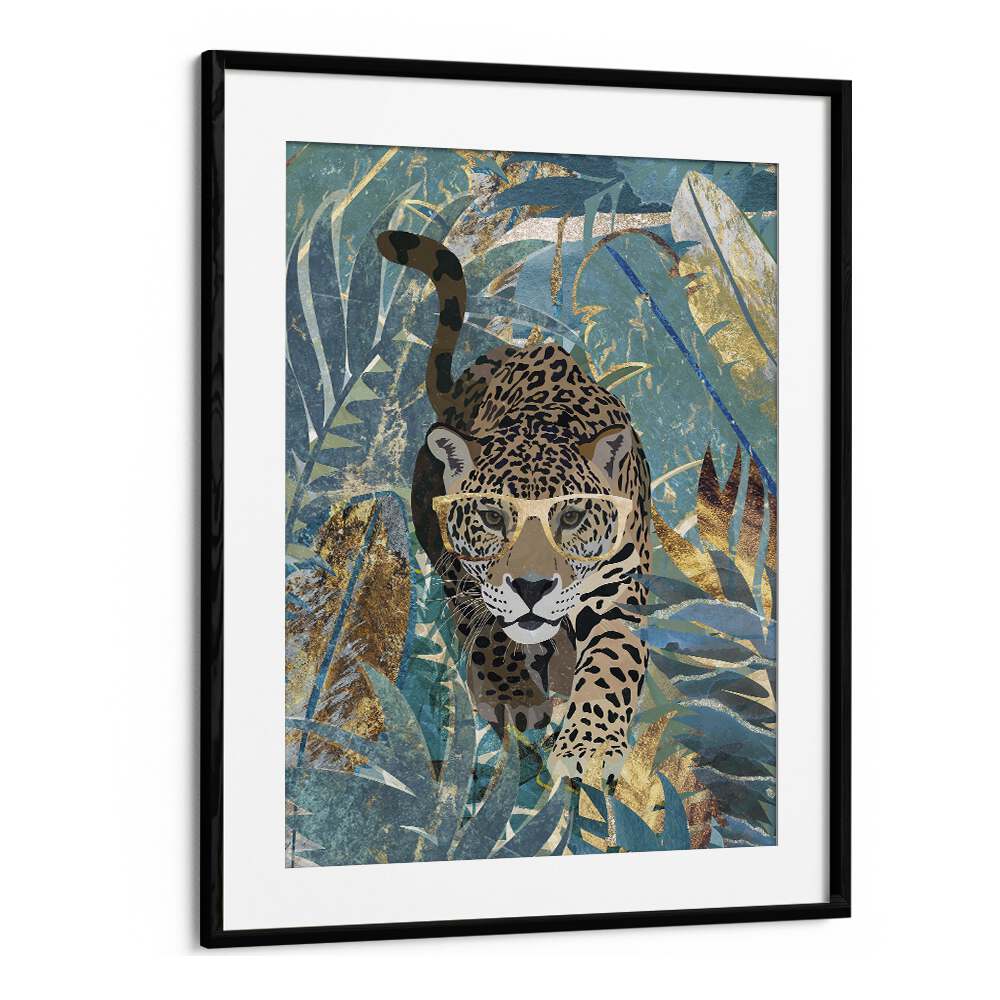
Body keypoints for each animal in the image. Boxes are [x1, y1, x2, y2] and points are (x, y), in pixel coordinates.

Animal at [377, 229, 652, 785]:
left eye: (571, 517)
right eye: (491, 517)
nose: (531, 587)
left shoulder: (618, 591)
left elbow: (612, 663)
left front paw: (589, 747)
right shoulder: (462, 569)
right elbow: (485, 625)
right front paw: (513, 696)